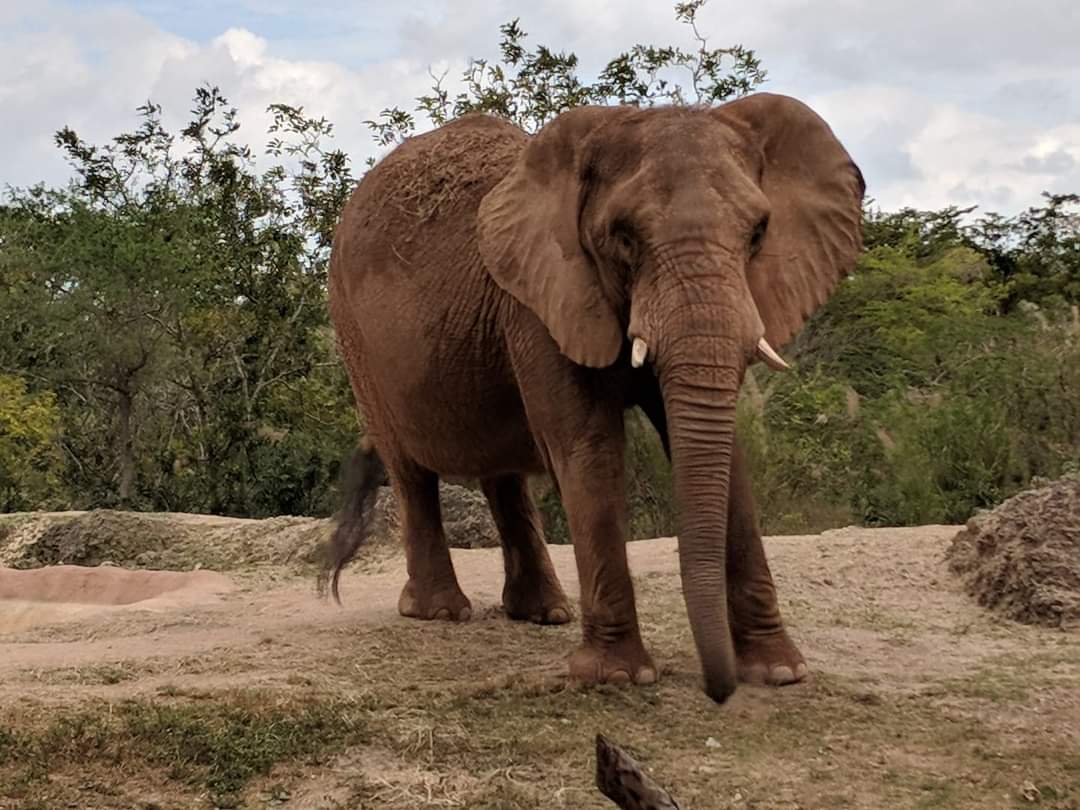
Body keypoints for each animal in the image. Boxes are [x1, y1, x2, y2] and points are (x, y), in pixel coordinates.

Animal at [323, 92, 865, 703]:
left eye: (758, 232)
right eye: (623, 236)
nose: (717, 689)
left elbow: (720, 451)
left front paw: (779, 672)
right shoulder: (540, 302)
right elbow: (590, 448)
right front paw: (619, 677)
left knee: (501, 470)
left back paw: (543, 614)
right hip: (357, 340)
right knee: (410, 470)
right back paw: (439, 613)